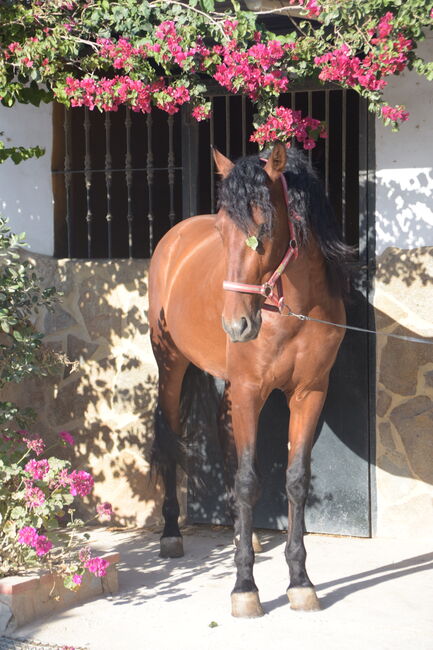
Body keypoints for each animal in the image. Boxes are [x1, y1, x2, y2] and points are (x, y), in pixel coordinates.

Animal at [147, 142, 350, 616]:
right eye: (223, 231)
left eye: (265, 226)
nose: (236, 324)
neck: (294, 309)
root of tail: (173, 239)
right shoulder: (249, 391)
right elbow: (247, 480)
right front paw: (244, 587)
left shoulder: (309, 394)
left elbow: (295, 480)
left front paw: (300, 581)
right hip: (171, 365)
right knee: (169, 438)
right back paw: (171, 534)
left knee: (224, 439)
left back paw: (249, 534)